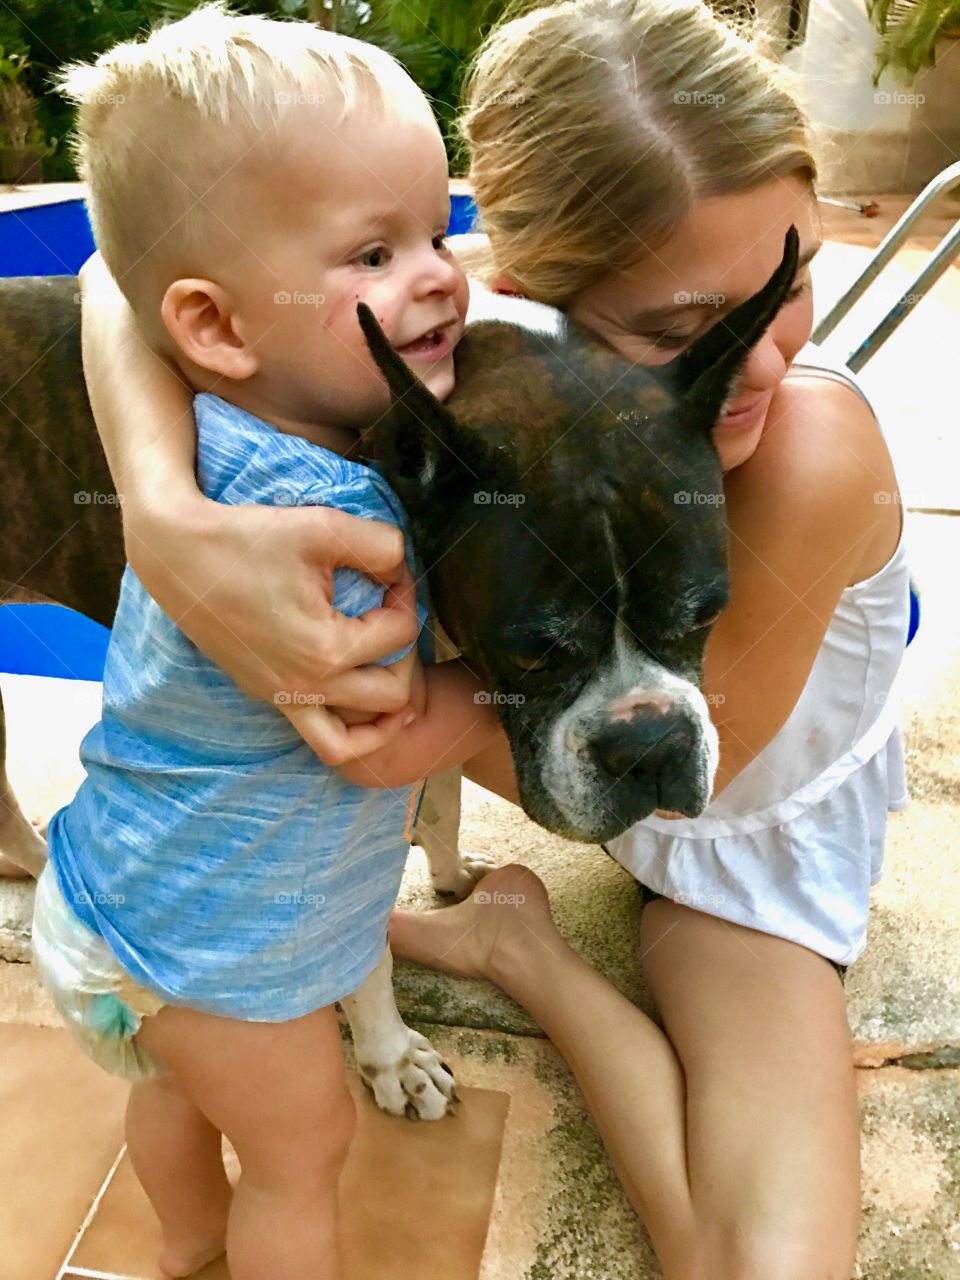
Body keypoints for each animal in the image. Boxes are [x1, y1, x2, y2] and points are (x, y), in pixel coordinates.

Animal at [0, 230, 798, 1121]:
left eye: (704, 614)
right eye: (533, 650)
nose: (649, 744)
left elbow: (442, 803)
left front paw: (450, 880)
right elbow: (355, 936)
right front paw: (388, 1054)